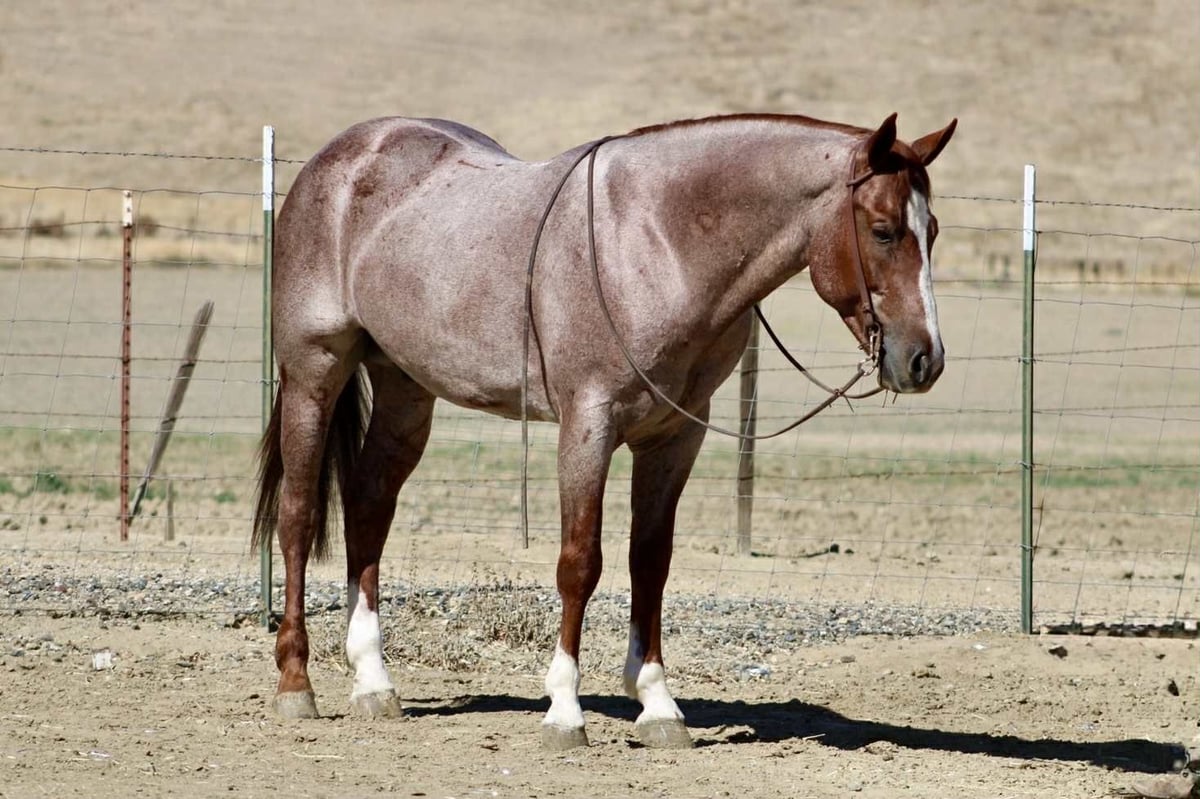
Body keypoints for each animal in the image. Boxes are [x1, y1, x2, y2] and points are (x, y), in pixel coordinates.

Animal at [252, 110, 956, 749]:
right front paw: (564, 711)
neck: (659, 240)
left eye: (932, 230)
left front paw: (658, 705)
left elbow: (650, 561)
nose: (925, 360)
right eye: (883, 230)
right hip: (314, 374)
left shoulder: (674, 437)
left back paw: (373, 682)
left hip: (404, 389)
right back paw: (296, 684)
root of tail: (341, 158)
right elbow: (579, 563)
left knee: (368, 508)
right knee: (298, 517)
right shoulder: (587, 426)